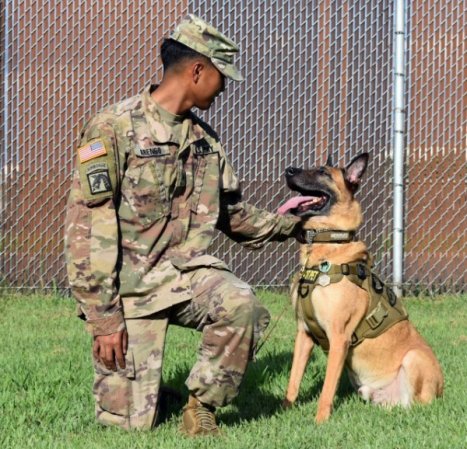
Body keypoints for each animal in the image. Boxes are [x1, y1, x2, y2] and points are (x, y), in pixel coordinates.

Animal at [280, 152, 444, 422]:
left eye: (323, 172)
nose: (288, 170)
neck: (326, 248)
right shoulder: (304, 334)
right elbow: (293, 380)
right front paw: (285, 410)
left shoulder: (339, 338)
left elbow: (327, 389)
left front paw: (320, 421)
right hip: (368, 390)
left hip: (414, 359)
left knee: (417, 406)